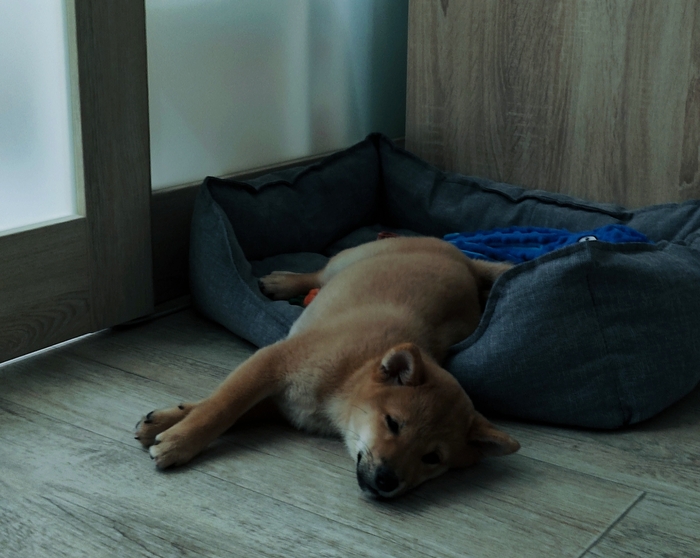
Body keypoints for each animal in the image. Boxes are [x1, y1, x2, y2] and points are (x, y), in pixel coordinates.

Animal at [135, 236, 520, 498]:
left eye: (432, 458)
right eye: (393, 424)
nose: (387, 481)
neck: (347, 379)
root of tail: (466, 261)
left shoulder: (281, 403)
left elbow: (232, 410)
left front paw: (167, 423)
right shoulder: (271, 363)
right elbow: (219, 407)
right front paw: (178, 438)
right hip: (349, 258)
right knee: (317, 273)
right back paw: (282, 282)